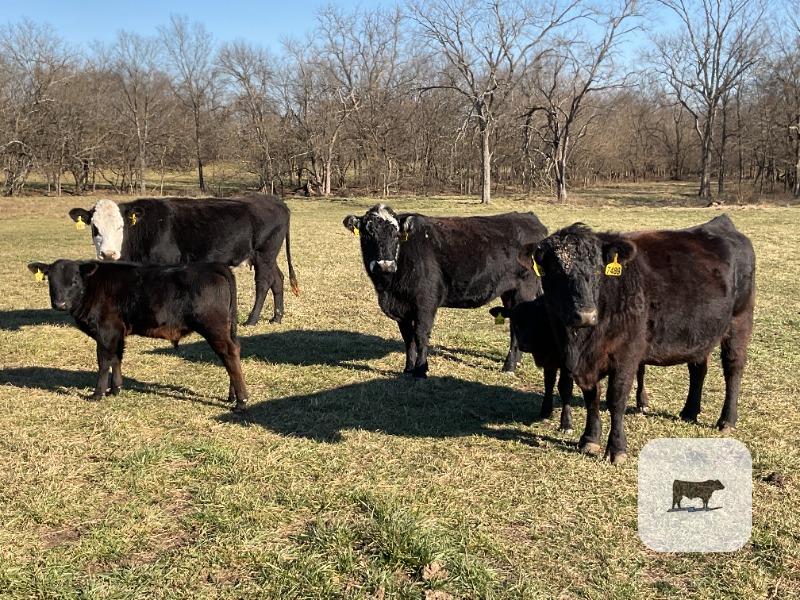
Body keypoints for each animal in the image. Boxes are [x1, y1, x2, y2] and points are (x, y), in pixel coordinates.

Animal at [27, 259, 249, 411]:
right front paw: (116, 389)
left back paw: (242, 401)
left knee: (229, 354)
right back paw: (232, 396)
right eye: (50, 280)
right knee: (232, 354)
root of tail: (213, 266)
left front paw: (98, 393)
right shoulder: (117, 332)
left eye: (74, 281)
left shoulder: (106, 331)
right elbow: (117, 358)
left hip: (214, 327)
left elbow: (104, 361)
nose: (60, 303)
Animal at [68, 194, 298, 326]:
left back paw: (252, 319)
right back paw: (277, 317)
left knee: (263, 283)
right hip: (268, 256)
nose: (108, 254)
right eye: (95, 228)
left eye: (120, 226)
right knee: (277, 279)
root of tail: (277, 201)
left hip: (264, 253)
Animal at [343, 204, 547, 377]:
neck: (389, 288)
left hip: (524, 289)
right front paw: (408, 369)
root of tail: (529, 217)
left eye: (396, 234)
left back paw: (509, 366)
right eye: (367, 234)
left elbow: (420, 335)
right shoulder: (402, 309)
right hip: (509, 292)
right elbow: (408, 338)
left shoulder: (425, 303)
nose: (384, 265)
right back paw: (515, 362)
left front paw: (420, 371)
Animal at [532, 215, 755, 464]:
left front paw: (617, 448)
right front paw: (589, 439)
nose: (586, 315)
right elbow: (592, 396)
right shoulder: (584, 363)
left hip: (739, 322)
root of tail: (722, 223)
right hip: (700, 332)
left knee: (733, 368)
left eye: (598, 269)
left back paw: (727, 420)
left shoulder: (627, 354)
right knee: (698, 369)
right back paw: (689, 411)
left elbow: (616, 399)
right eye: (555, 271)